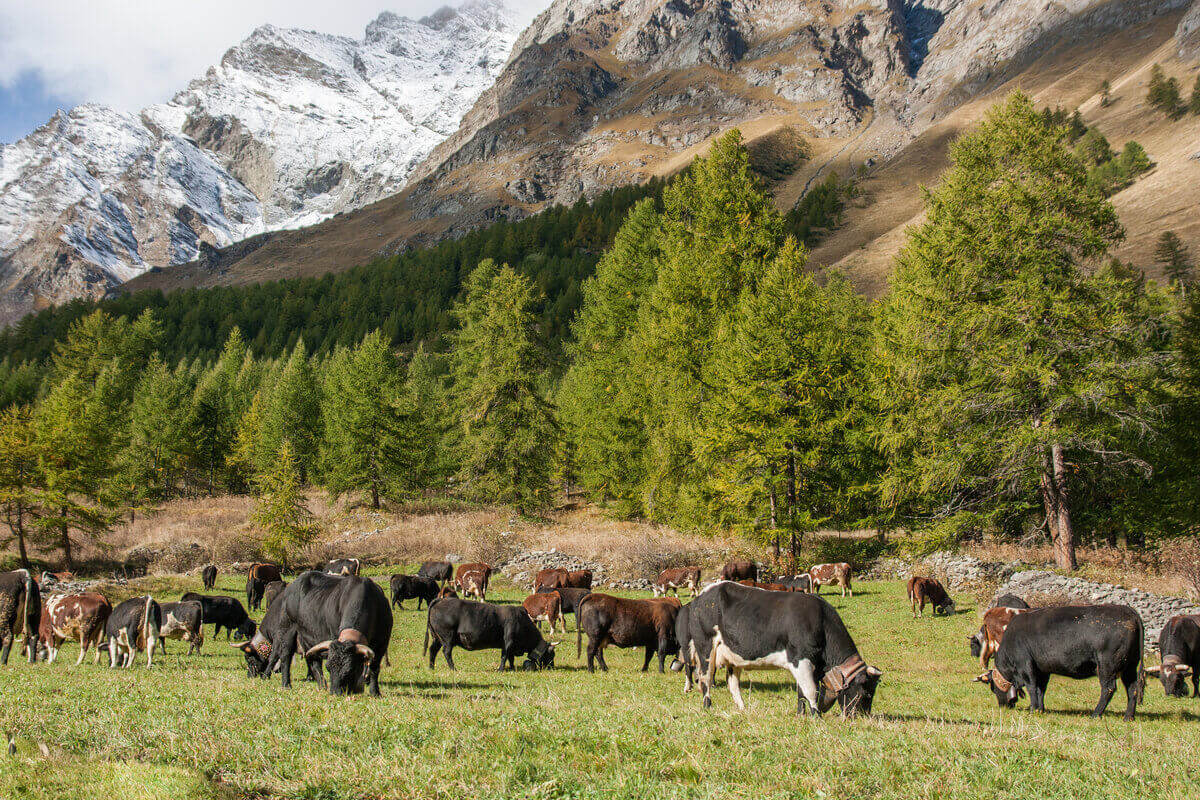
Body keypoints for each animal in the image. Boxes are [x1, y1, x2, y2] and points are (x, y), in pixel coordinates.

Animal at [424, 597, 554, 671]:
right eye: (551, 655)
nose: (551, 667)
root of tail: (441, 600)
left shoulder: (509, 646)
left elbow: (510, 658)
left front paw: (512, 669)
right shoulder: (508, 642)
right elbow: (505, 656)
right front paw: (500, 670)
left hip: (437, 638)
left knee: (432, 650)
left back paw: (431, 667)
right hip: (447, 638)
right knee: (446, 652)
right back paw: (453, 668)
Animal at [686, 578, 883, 714]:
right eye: (866, 693)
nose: (861, 716)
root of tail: (702, 596)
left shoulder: (808, 665)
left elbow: (802, 691)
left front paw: (801, 715)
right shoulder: (799, 658)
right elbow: (811, 691)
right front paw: (816, 717)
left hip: (733, 658)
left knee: (733, 684)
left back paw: (742, 709)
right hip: (705, 648)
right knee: (705, 679)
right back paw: (707, 707)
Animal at [969, 604, 1147, 724]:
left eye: (993, 688)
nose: (1003, 706)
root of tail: (1129, 611)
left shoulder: (1025, 665)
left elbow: (1032, 687)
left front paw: (1033, 709)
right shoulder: (1042, 669)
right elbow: (1041, 690)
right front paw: (1040, 709)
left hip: (1107, 667)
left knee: (1108, 689)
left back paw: (1096, 714)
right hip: (1130, 667)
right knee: (1132, 689)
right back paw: (1128, 717)